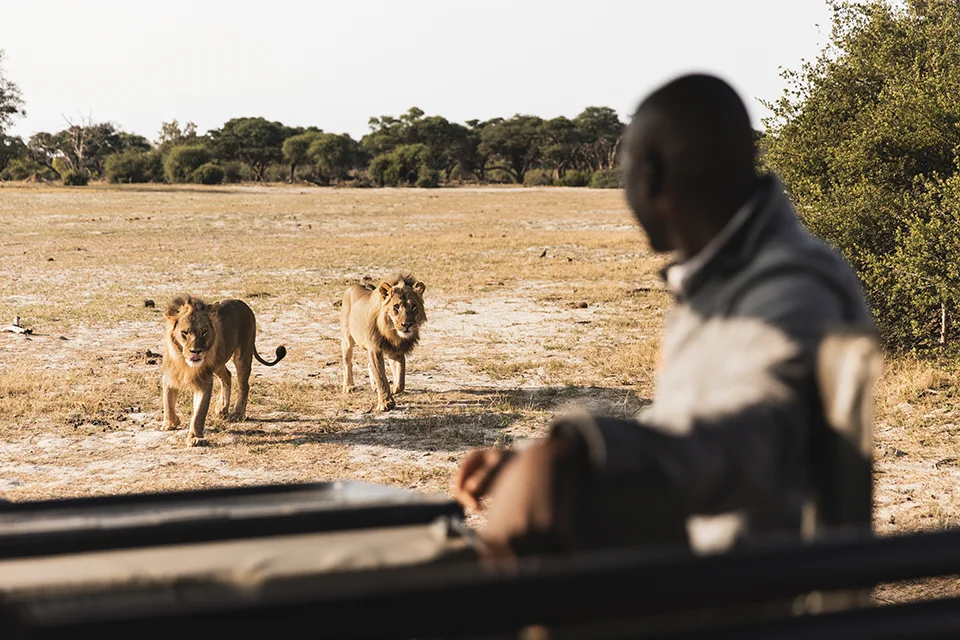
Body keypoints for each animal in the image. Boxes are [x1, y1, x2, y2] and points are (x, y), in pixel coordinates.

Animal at [161, 295, 286, 446]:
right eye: (184, 333)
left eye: (204, 332)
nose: (196, 351)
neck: (184, 362)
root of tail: (242, 303)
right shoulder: (169, 376)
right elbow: (168, 403)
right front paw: (170, 423)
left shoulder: (205, 381)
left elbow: (199, 413)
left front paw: (195, 438)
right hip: (219, 362)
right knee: (227, 376)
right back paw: (222, 408)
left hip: (243, 355)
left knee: (244, 385)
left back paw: (237, 413)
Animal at [341, 274, 427, 411]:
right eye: (396, 306)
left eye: (414, 306)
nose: (407, 325)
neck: (391, 332)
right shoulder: (374, 349)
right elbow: (381, 377)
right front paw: (385, 403)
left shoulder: (396, 352)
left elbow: (400, 380)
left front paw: (392, 389)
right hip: (347, 340)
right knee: (347, 363)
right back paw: (349, 386)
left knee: (369, 365)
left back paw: (373, 387)